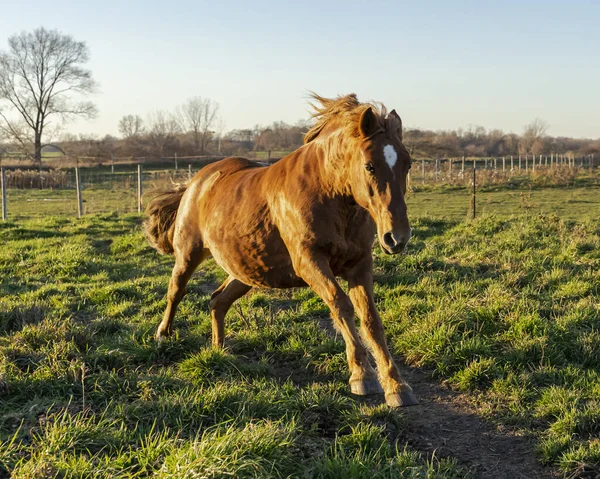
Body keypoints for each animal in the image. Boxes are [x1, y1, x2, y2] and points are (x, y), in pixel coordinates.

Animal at [145, 94, 418, 408]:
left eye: (408, 164)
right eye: (370, 166)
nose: (397, 238)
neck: (328, 193)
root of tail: (195, 183)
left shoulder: (359, 264)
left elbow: (371, 320)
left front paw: (397, 386)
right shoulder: (310, 261)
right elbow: (341, 306)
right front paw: (362, 376)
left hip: (246, 271)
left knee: (217, 301)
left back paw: (218, 350)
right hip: (189, 253)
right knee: (176, 290)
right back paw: (163, 335)